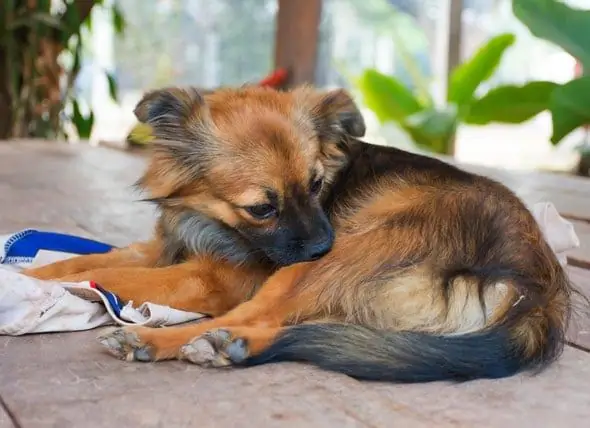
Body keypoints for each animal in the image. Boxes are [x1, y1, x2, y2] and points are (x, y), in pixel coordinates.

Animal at [25, 83, 576, 382]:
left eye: (316, 185)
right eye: (262, 208)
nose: (320, 243)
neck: (209, 220)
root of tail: (538, 291)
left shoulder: (218, 278)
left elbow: (115, 276)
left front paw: (32, 287)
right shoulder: (163, 248)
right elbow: (86, 262)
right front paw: (36, 272)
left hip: (328, 262)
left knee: (259, 317)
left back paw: (169, 340)